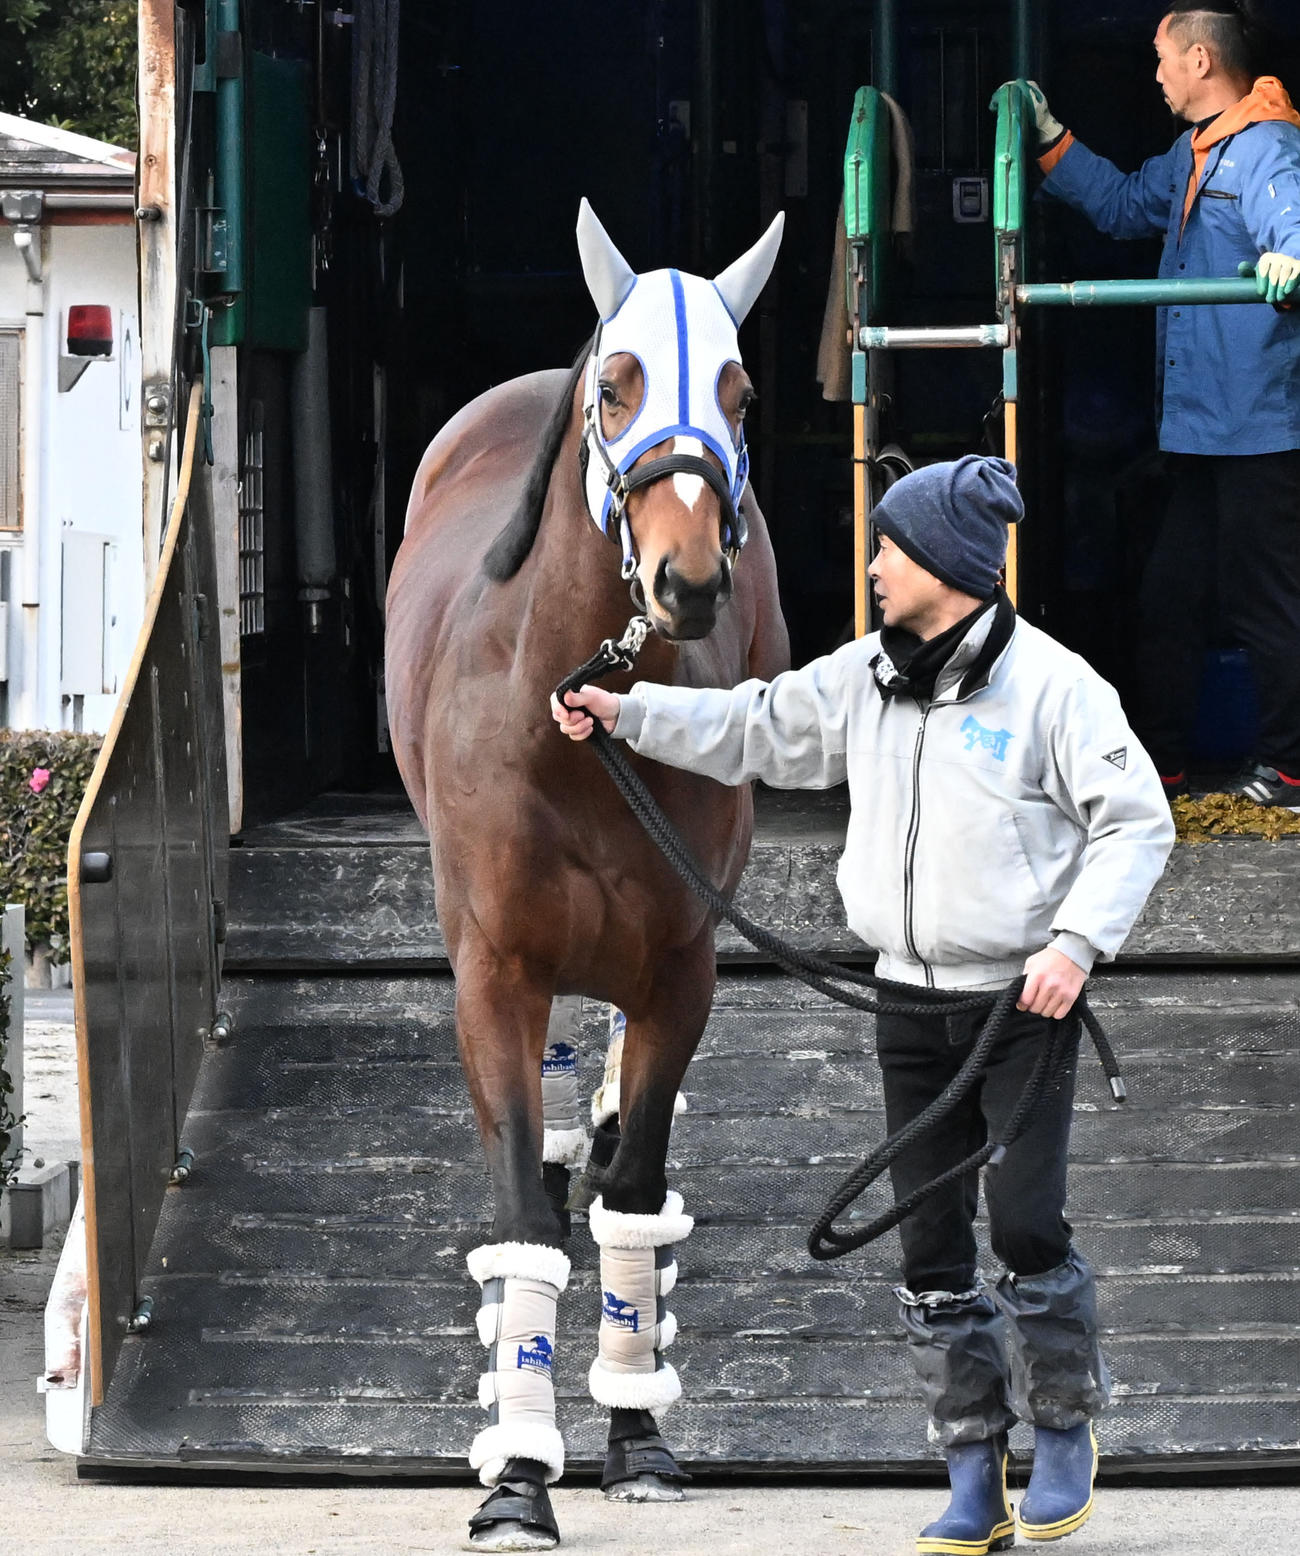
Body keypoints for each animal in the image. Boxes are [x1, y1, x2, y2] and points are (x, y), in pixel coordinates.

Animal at [385, 200, 790, 1551]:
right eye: (616, 385)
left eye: (740, 390)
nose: (687, 578)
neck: (571, 713)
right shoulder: (494, 971)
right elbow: (522, 1209)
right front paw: (517, 1468)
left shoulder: (679, 968)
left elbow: (637, 1184)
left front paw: (636, 1434)